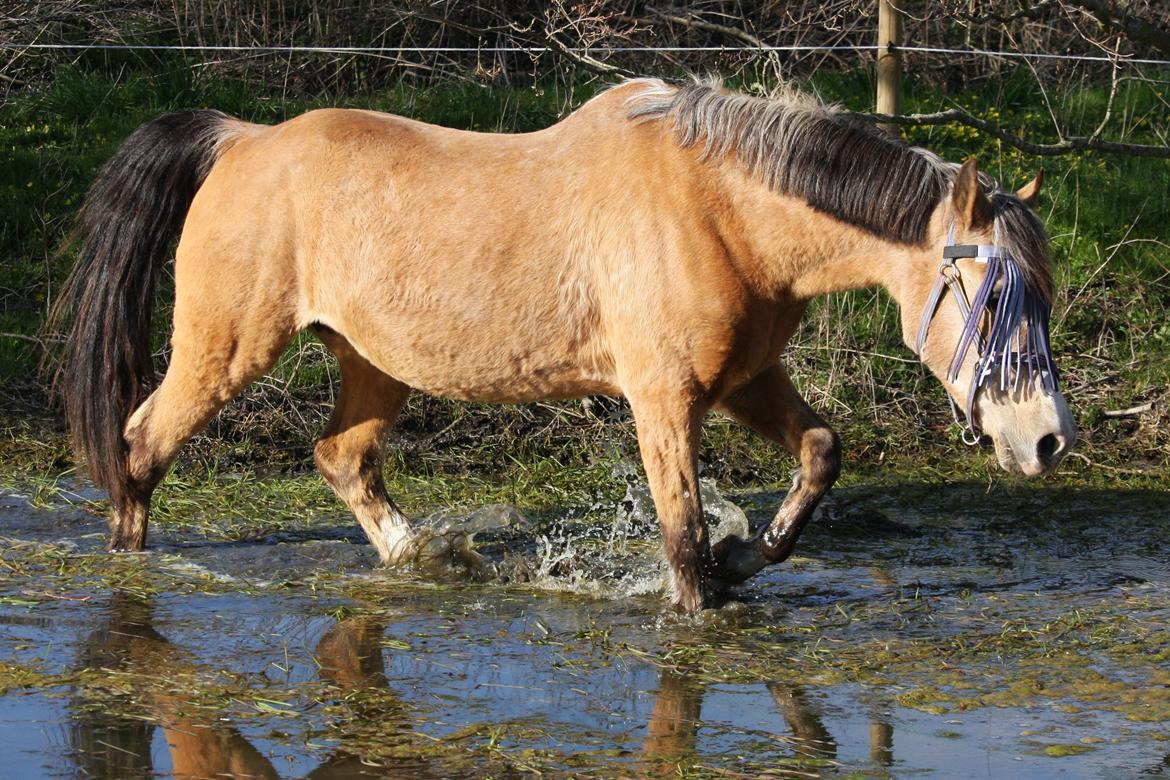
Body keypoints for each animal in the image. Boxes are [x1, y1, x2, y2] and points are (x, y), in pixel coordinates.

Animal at [54, 80, 1076, 617]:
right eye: (993, 299)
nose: (1048, 439)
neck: (720, 209)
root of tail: (242, 140)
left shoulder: (744, 379)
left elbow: (820, 454)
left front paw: (748, 559)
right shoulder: (665, 398)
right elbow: (679, 531)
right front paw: (703, 598)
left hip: (371, 361)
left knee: (341, 456)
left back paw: (428, 559)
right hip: (228, 349)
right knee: (140, 444)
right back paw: (130, 570)